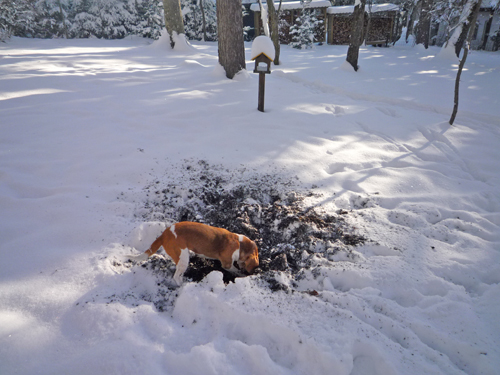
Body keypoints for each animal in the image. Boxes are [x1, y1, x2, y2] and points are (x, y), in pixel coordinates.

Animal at [129, 222, 260, 286]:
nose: (253, 271)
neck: (239, 244)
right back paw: (183, 285)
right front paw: (241, 275)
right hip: (183, 258)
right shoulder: (227, 265)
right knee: (176, 277)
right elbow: (235, 270)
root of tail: (164, 234)